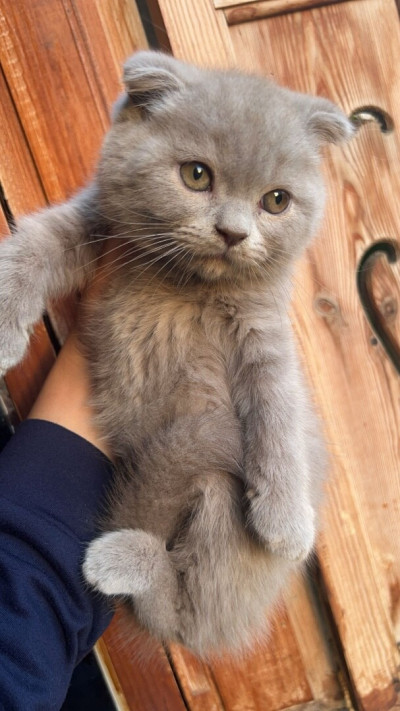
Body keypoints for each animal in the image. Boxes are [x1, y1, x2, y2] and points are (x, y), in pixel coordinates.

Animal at [0, 52, 352, 660]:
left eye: (276, 201)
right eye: (196, 175)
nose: (233, 233)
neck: (184, 285)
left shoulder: (264, 329)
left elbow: (278, 404)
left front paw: (285, 518)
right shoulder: (95, 227)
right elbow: (38, 241)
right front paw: (3, 321)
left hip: (217, 505)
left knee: (185, 615)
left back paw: (122, 559)